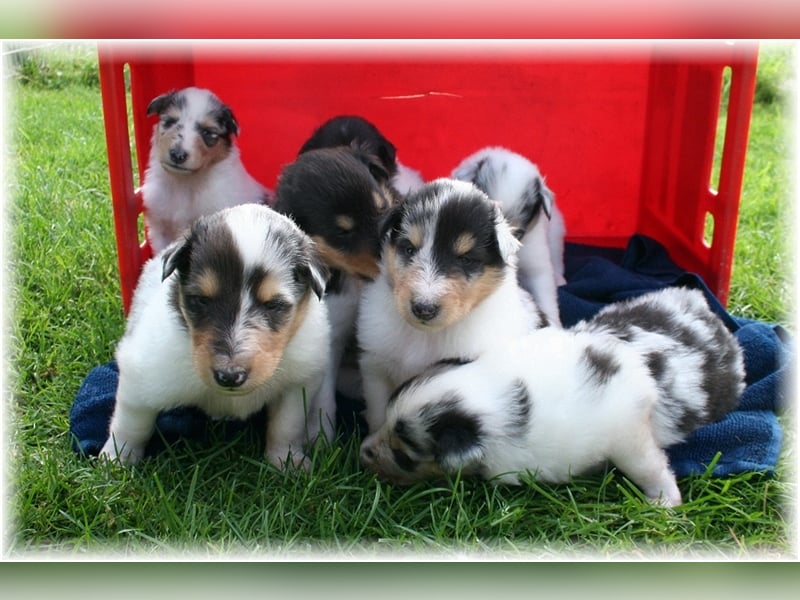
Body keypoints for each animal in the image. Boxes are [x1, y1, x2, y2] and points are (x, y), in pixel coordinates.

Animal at [101, 204, 332, 472]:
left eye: (273, 305)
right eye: (201, 300)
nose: (230, 376)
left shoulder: (298, 383)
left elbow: (287, 425)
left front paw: (286, 462)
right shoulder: (142, 376)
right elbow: (131, 424)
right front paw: (115, 461)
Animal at [360, 176, 548, 434]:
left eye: (466, 259)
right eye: (409, 249)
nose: (424, 308)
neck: (425, 336)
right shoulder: (375, 368)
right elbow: (378, 416)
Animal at [360, 286, 748, 506]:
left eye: (404, 454)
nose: (363, 451)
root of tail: (703, 309)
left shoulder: (628, 432)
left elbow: (650, 465)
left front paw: (665, 502)